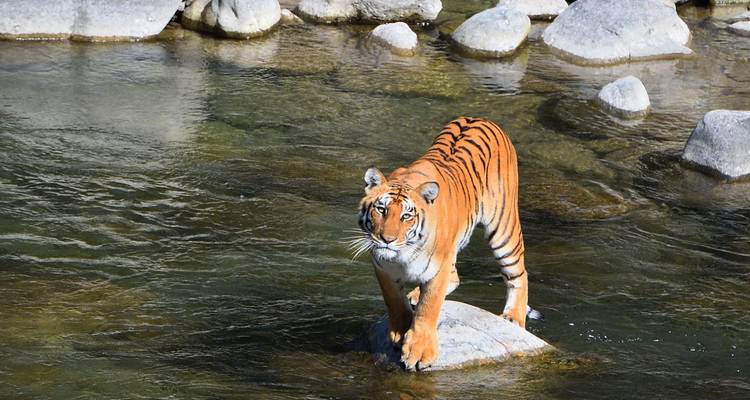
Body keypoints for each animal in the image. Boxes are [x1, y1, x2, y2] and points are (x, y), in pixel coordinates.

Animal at [353, 117, 528, 371]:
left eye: (406, 216)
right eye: (381, 209)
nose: (387, 239)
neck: (403, 255)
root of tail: (481, 118)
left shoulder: (438, 268)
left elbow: (429, 307)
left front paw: (419, 351)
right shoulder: (382, 267)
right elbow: (394, 300)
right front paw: (399, 332)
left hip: (503, 227)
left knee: (518, 273)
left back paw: (514, 316)